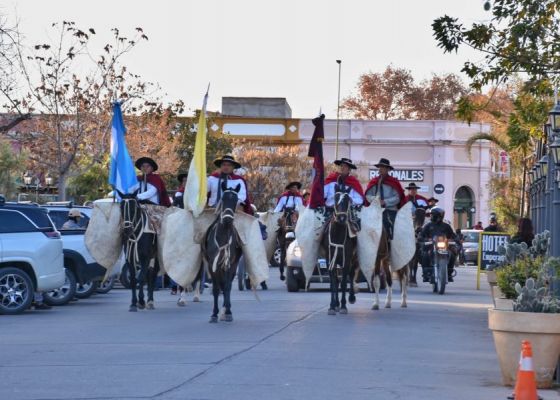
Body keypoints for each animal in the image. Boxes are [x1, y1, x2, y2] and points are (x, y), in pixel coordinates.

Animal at [203, 181, 243, 322]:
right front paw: (214, 314)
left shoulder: (229, 264)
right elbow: (215, 288)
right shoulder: (212, 264)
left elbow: (227, 286)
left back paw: (226, 309)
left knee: (227, 285)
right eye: (223, 199)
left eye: (236, 200)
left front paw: (228, 312)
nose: (227, 219)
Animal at [322, 182, 356, 316]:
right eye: (336, 199)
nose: (341, 218)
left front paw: (343, 305)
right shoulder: (329, 258)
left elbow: (344, 282)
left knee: (351, 275)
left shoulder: (346, 259)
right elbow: (333, 281)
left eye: (348, 200)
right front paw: (332, 305)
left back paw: (351, 297)